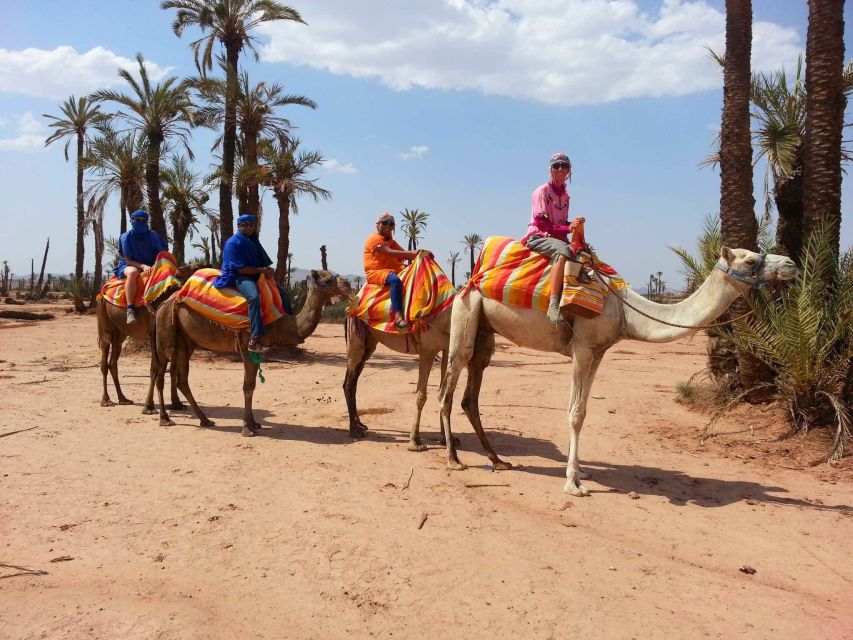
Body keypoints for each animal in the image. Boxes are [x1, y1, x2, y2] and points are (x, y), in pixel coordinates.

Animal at [96, 264, 196, 410]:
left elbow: (172, 369)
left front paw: (177, 403)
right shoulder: (154, 335)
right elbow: (154, 368)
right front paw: (149, 406)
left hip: (119, 334)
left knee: (113, 362)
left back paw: (123, 398)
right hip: (104, 323)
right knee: (104, 360)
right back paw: (106, 400)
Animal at [152, 270, 350, 436]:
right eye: (327, 279)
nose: (348, 284)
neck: (277, 322)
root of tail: (164, 303)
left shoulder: (258, 351)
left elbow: (253, 384)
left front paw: (254, 423)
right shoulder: (247, 345)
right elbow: (247, 386)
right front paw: (247, 428)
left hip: (186, 341)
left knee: (181, 379)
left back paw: (205, 420)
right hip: (165, 334)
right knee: (160, 374)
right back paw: (164, 418)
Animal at [440, 245, 800, 496]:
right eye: (749, 260)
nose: (790, 264)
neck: (628, 311)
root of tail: (469, 282)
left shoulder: (598, 352)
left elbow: (584, 411)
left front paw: (580, 471)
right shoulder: (583, 348)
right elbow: (575, 413)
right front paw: (573, 483)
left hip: (485, 330)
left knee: (470, 394)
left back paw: (497, 460)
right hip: (465, 316)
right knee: (448, 388)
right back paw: (453, 458)